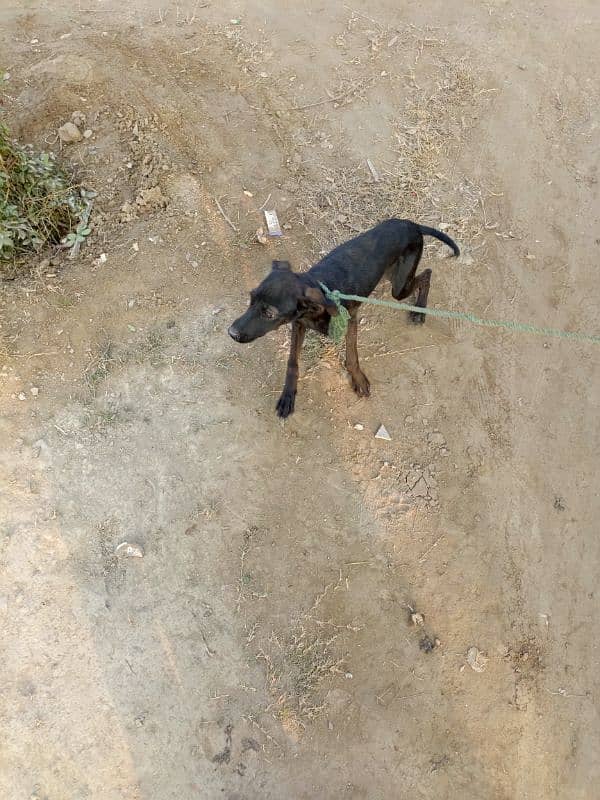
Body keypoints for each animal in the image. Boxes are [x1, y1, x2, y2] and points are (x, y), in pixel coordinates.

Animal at [227, 219, 458, 418]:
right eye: (251, 299)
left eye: (269, 314)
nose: (231, 333)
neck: (320, 290)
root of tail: (412, 224)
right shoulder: (298, 324)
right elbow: (292, 361)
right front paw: (288, 395)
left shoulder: (350, 321)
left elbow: (352, 355)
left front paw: (358, 378)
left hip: (399, 287)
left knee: (427, 274)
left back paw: (420, 310)